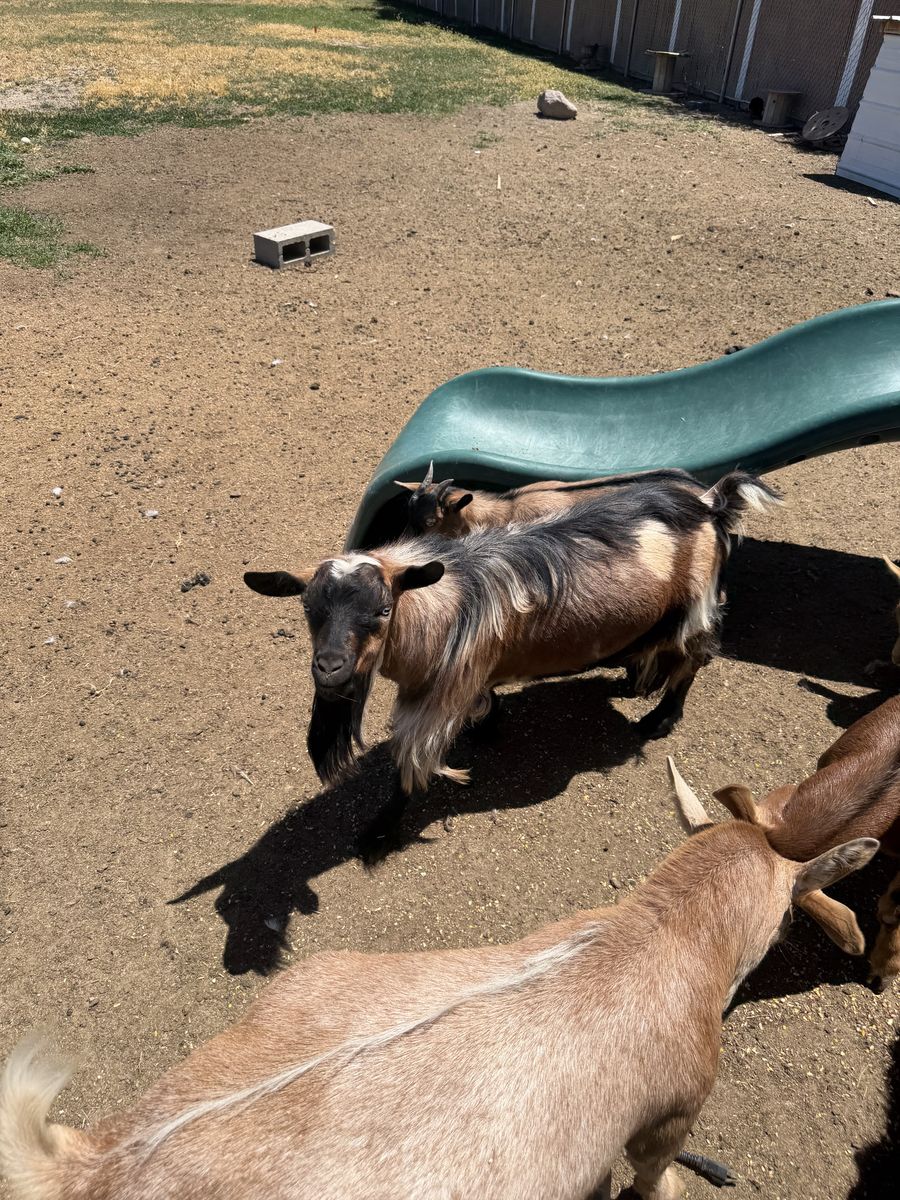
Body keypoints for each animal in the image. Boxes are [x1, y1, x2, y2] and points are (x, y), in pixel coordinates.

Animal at [244, 472, 780, 848]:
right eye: (308, 609)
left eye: (383, 610)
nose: (329, 668)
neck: (439, 609)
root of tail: (712, 501)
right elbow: (485, 702)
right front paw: (487, 727)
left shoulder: (436, 700)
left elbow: (409, 769)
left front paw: (377, 832)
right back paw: (631, 682)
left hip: (697, 606)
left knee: (692, 662)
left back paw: (659, 718)